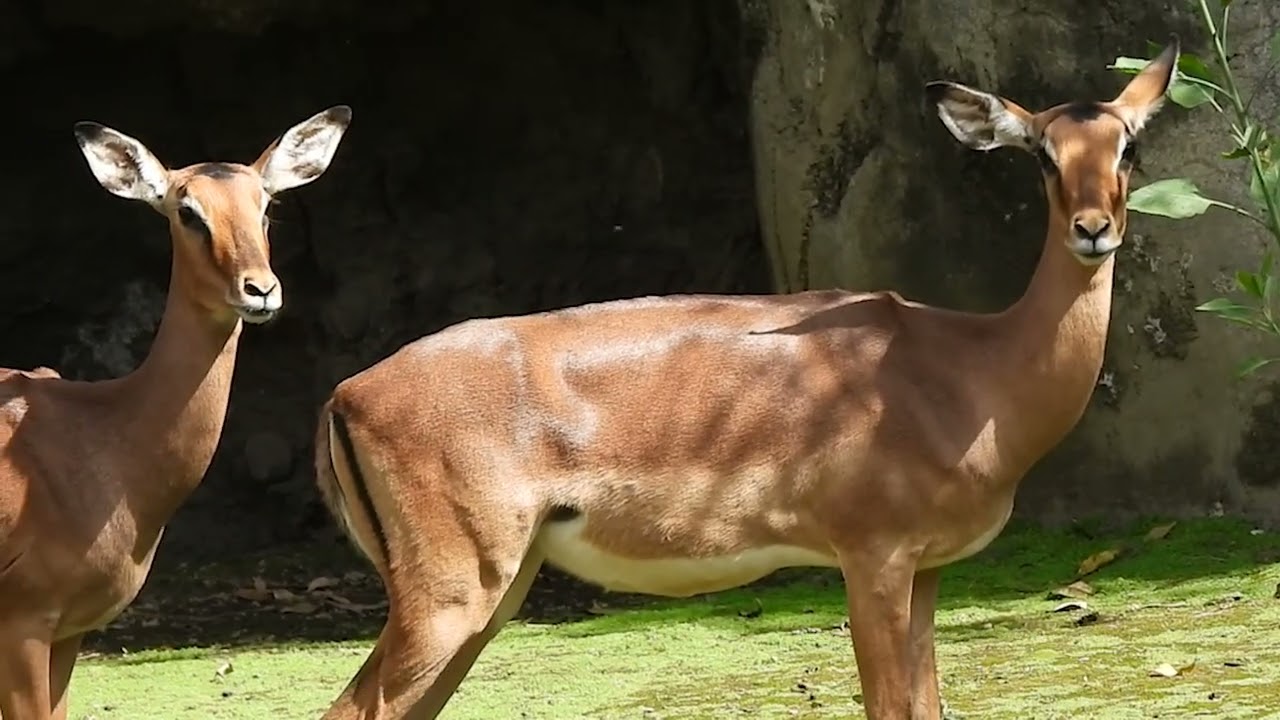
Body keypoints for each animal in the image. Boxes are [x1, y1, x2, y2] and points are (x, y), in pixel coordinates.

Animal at [314, 38, 1178, 720]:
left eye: (1128, 145)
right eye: (1042, 152)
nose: (1093, 230)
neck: (971, 372)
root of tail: (345, 395)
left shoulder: (928, 571)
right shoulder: (873, 559)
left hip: (489, 596)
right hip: (453, 597)